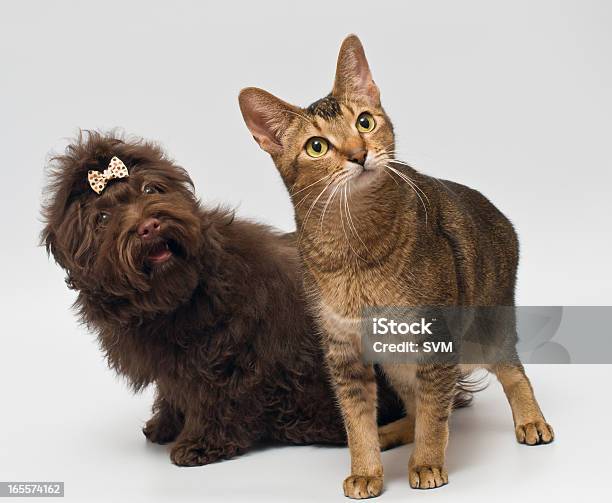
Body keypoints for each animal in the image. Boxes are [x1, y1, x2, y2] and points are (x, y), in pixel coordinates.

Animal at [239, 36, 556, 500]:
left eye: (365, 121)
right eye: (317, 146)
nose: (359, 155)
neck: (352, 247)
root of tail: (497, 214)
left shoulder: (434, 336)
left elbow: (436, 413)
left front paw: (427, 463)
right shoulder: (343, 350)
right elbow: (358, 420)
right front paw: (367, 470)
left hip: (479, 332)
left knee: (510, 369)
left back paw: (531, 420)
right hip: (395, 357)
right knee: (417, 401)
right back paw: (392, 431)